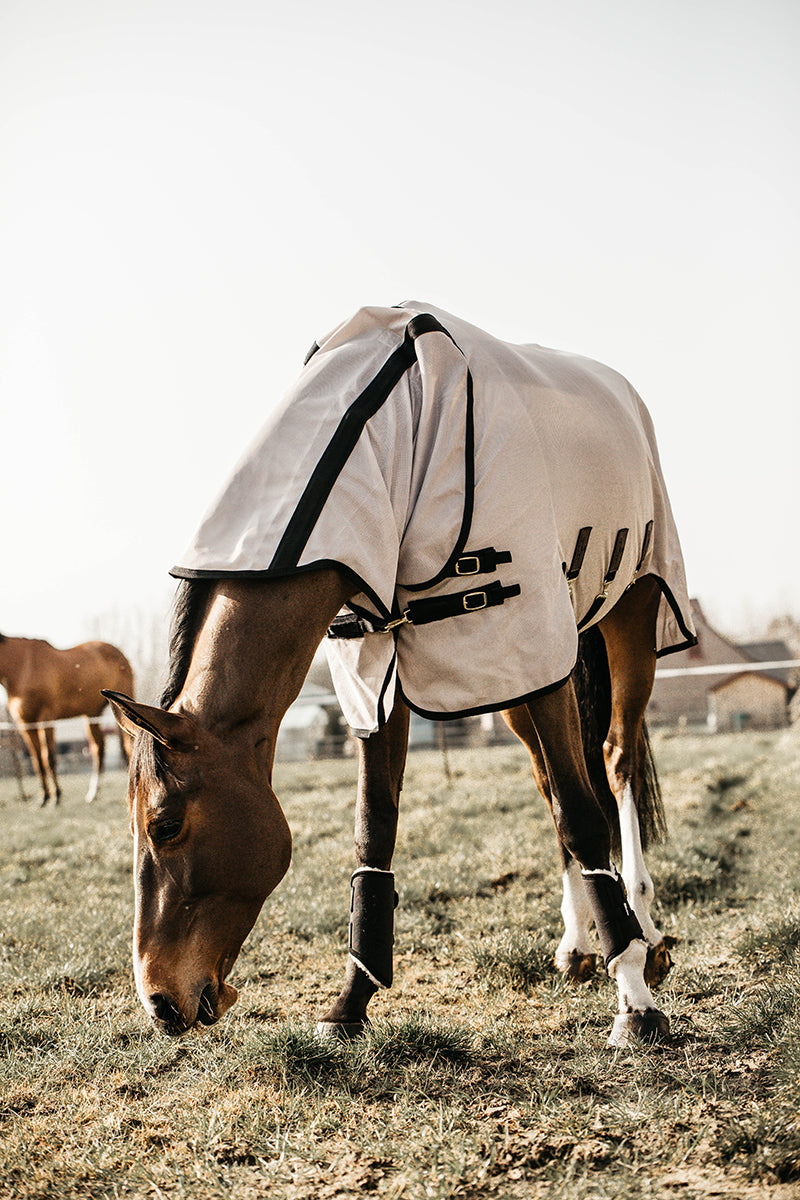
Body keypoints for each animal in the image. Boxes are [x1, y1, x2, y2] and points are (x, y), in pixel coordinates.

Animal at [0, 628, 134, 806]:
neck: (22, 667)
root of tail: (119, 653)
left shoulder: (46, 718)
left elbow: (49, 757)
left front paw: (56, 796)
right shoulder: (26, 724)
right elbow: (37, 761)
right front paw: (44, 798)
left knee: (128, 746)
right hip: (92, 714)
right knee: (98, 749)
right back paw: (92, 794)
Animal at [104, 302, 695, 1051]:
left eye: (167, 824)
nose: (158, 1001)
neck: (386, 440)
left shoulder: (534, 640)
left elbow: (584, 818)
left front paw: (635, 1003)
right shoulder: (378, 673)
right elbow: (375, 829)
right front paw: (351, 1002)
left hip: (626, 617)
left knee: (614, 764)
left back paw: (644, 933)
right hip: (512, 682)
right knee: (550, 785)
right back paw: (577, 945)